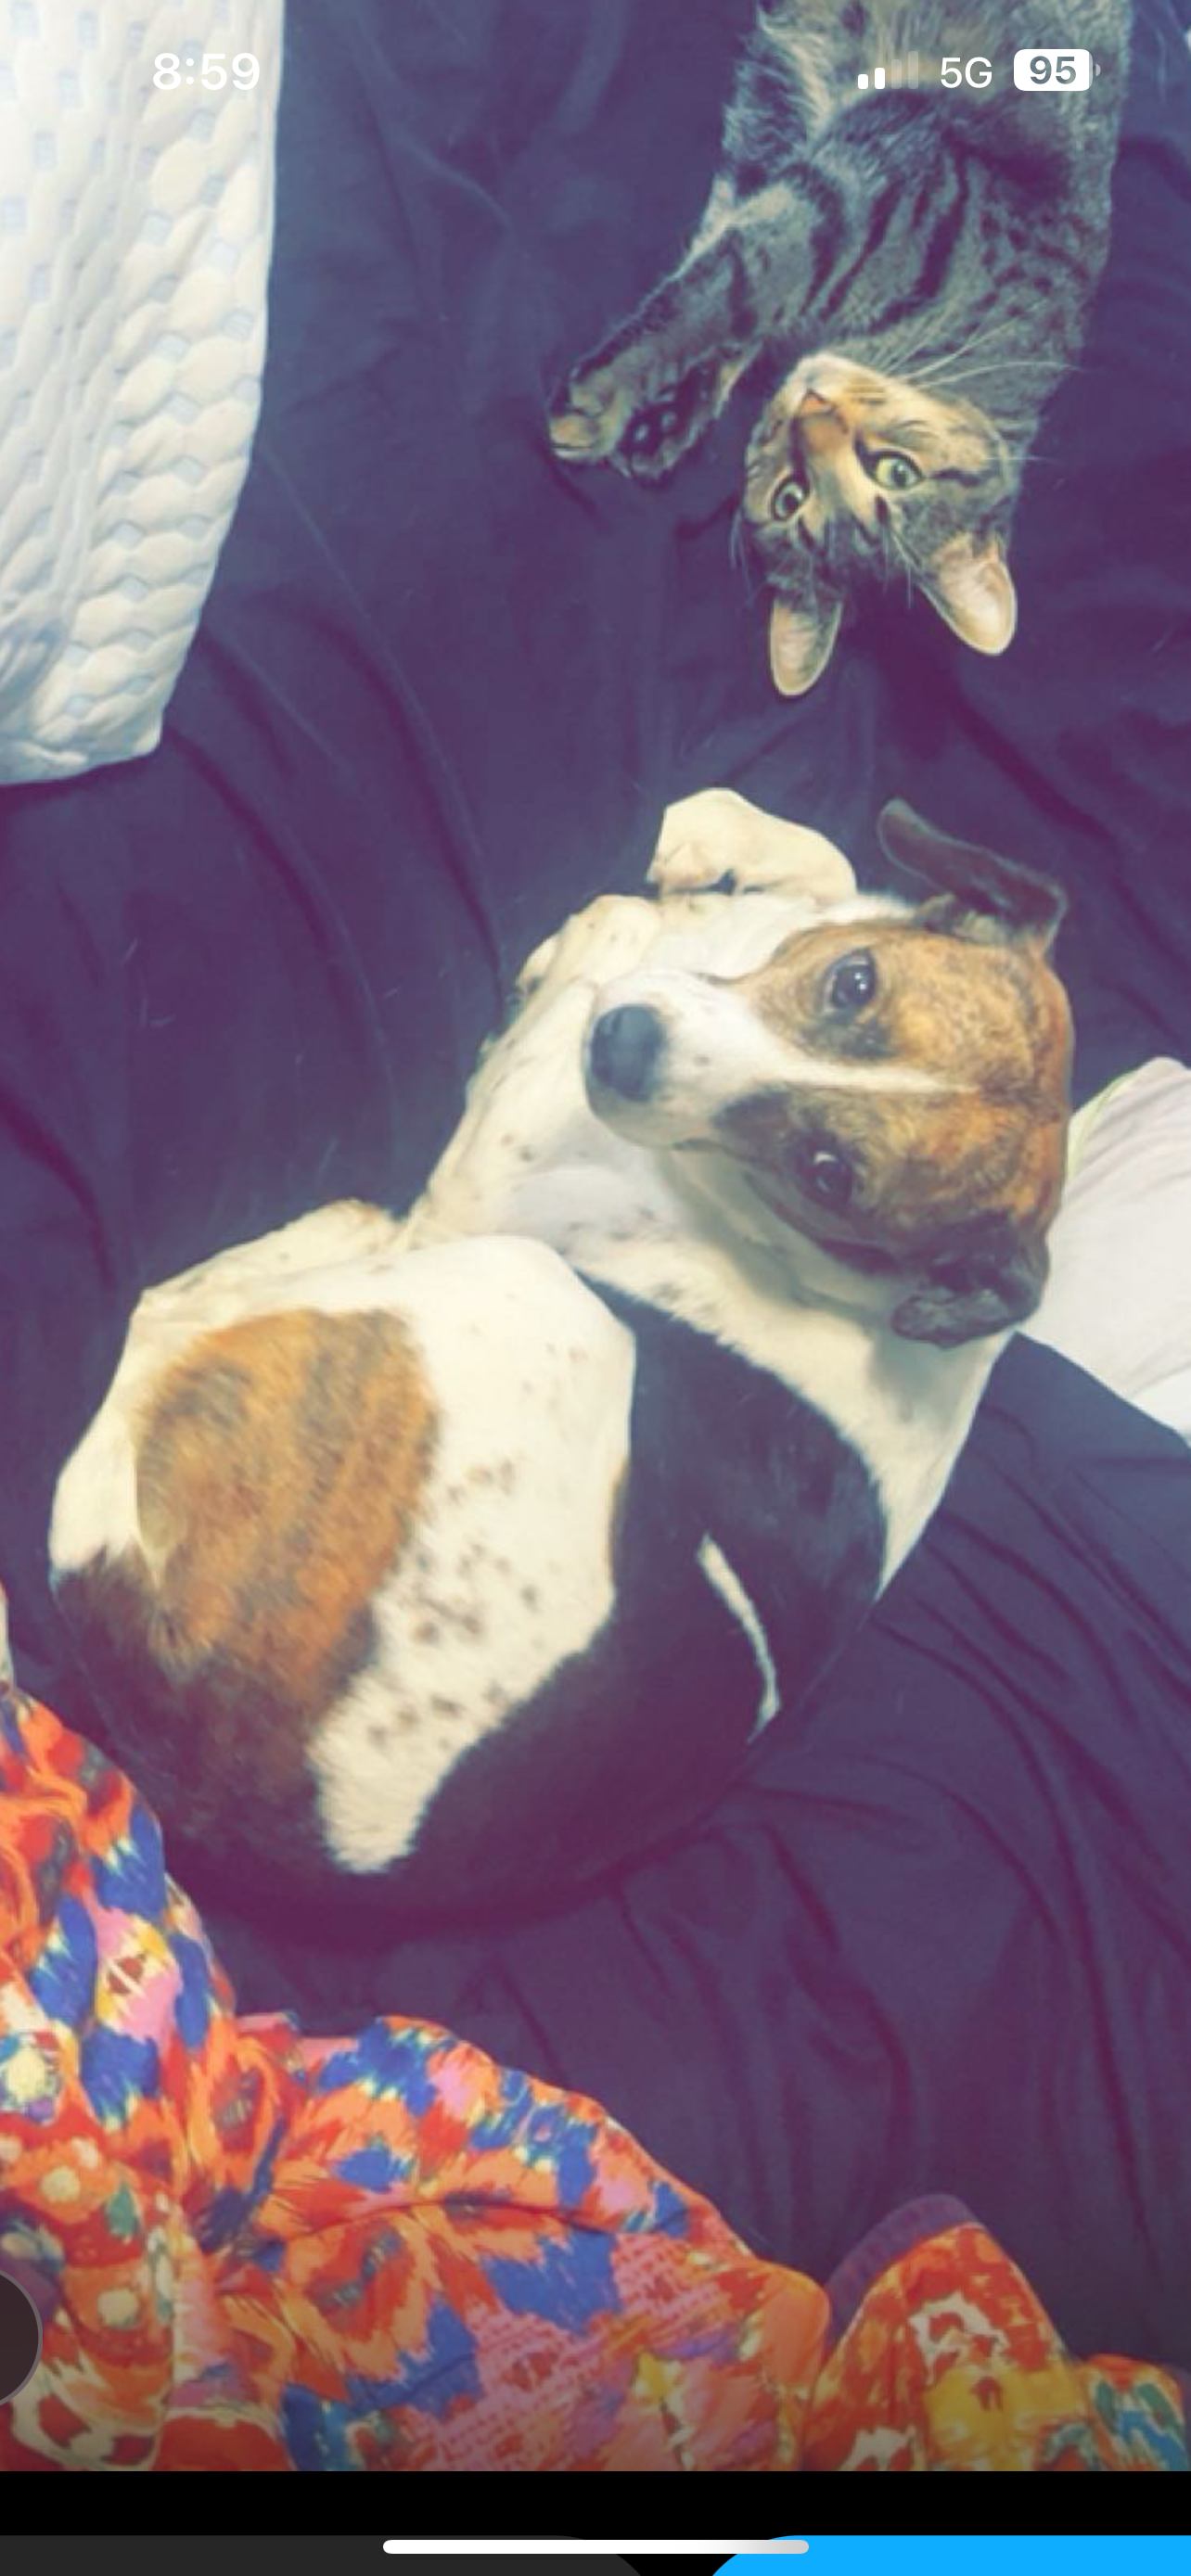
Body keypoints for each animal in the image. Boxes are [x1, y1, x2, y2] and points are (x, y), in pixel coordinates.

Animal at [48, 790, 1072, 1924]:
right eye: (855, 982)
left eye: (830, 1172)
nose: (626, 1047)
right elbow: (825, 865)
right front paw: (710, 852)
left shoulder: (488, 1185)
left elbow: (596, 970)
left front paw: (608, 937)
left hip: (531, 1291)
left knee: (159, 1332)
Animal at [549, 2, 1131, 694]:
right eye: (897, 472)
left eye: (790, 496)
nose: (813, 414)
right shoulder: (846, 195)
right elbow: (721, 285)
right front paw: (619, 401)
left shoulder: (815, 172)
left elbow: (727, 284)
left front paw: (656, 413)